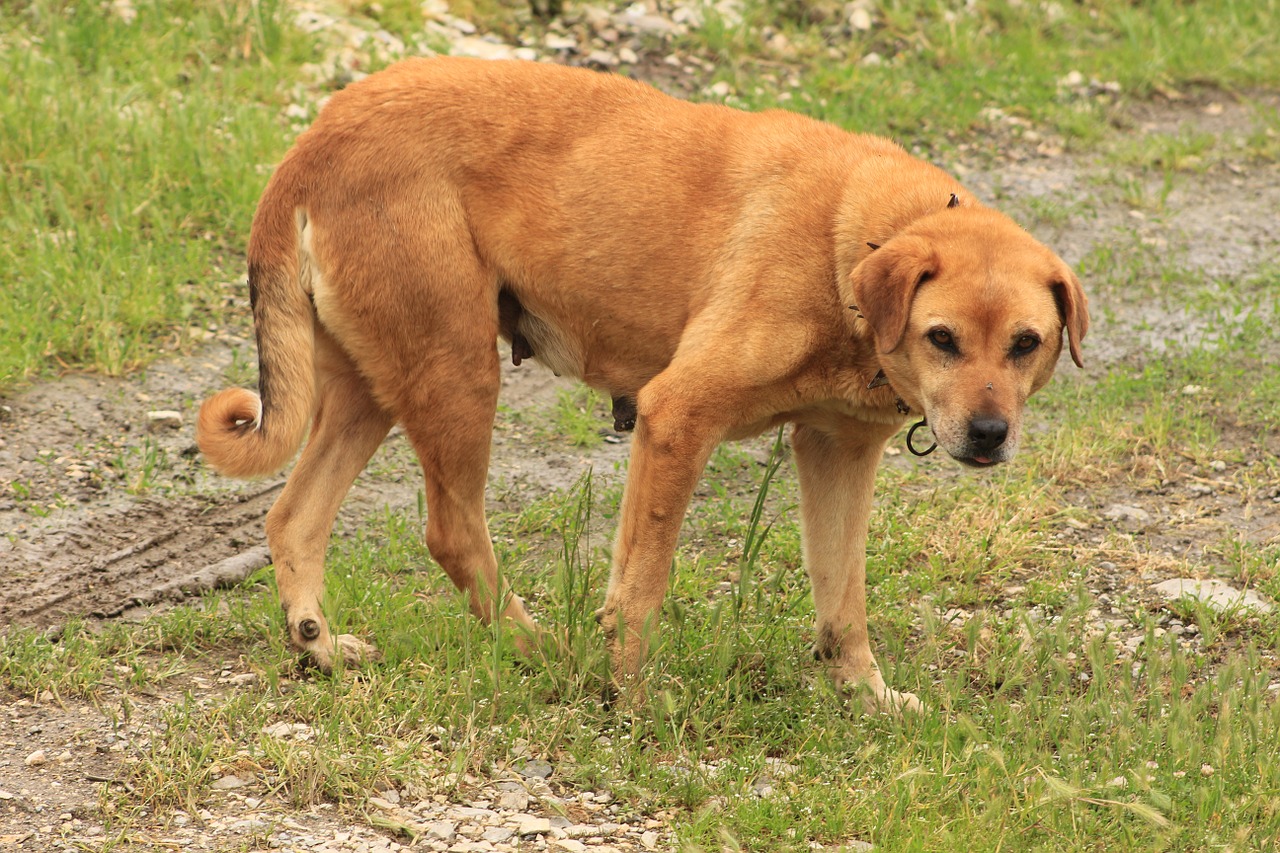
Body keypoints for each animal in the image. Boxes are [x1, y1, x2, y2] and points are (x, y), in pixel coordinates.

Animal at [194, 56, 1085, 712]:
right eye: (943, 339)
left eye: (1026, 344)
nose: (989, 436)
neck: (854, 240)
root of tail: (315, 141)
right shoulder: (677, 417)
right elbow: (644, 583)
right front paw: (629, 694)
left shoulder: (837, 450)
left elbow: (843, 599)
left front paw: (865, 697)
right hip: (455, 370)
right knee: (450, 531)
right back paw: (539, 649)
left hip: (372, 387)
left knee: (292, 516)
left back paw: (319, 644)